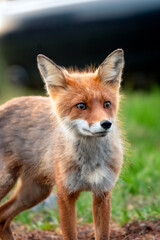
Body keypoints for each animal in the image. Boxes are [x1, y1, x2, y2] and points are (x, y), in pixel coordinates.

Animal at [0, 48, 124, 238]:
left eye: (107, 104)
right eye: (81, 106)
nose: (106, 124)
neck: (89, 162)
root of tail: (5, 105)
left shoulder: (102, 193)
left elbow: (102, 234)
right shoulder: (65, 194)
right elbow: (70, 234)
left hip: (36, 192)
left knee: (2, 217)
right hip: (7, 182)